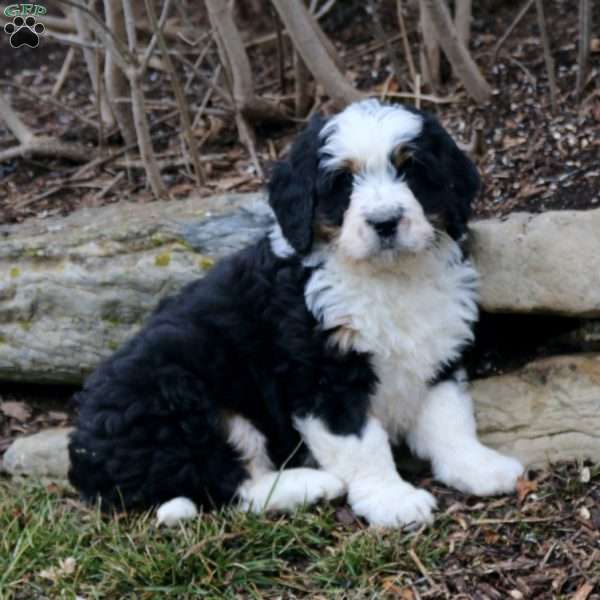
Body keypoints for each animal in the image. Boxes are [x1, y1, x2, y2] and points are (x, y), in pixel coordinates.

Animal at [68, 101, 524, 528]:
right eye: (342, 183)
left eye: (411, 171)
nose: (385, 222)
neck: (388, 277)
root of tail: (86, 460)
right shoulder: (323, 373)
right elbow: (361, 443)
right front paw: (392, 499)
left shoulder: (437, 347)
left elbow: (450, 419)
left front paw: (479, 467)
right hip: (177, 391)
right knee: (229, 484)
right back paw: (310, 484)